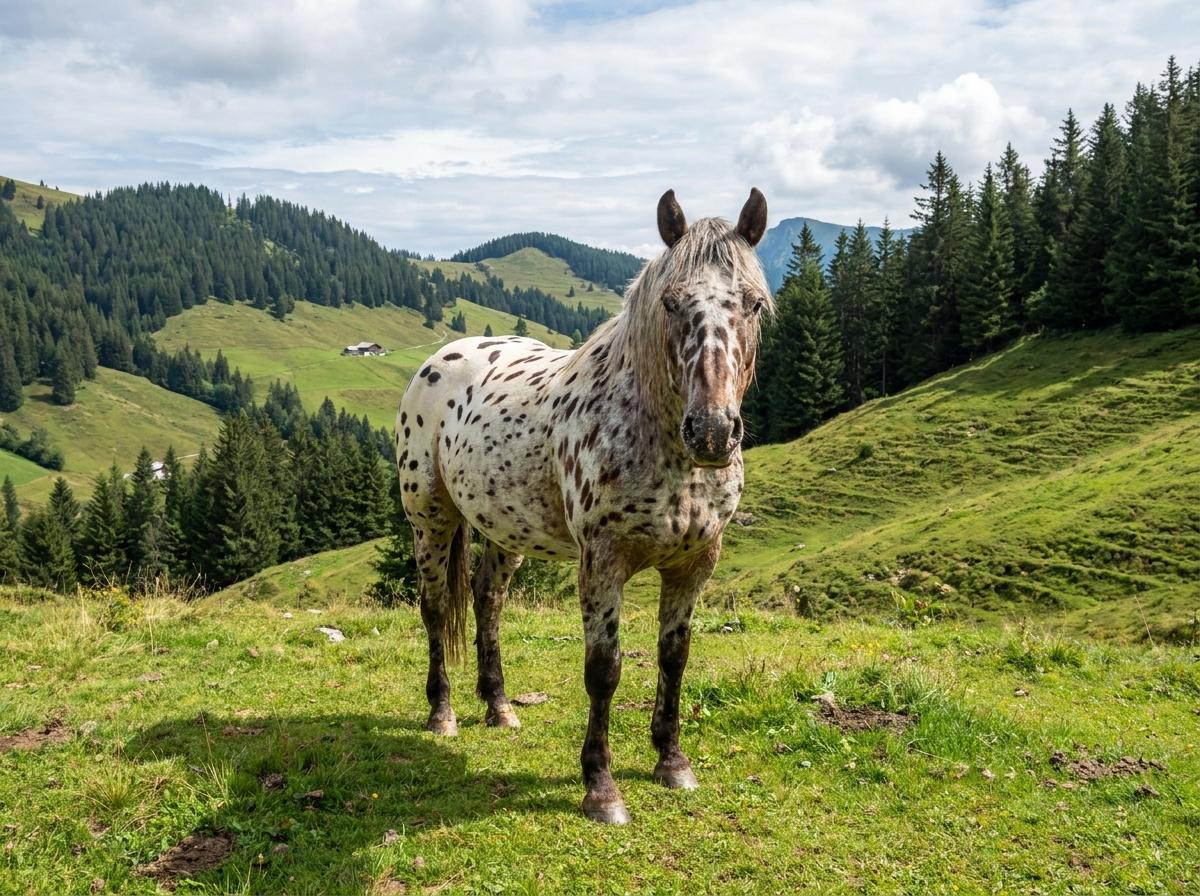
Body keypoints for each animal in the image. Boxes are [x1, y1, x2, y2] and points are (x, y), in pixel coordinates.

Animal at [395, 188, 770, 824]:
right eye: (671, 303)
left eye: (755, 305)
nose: (713, 432)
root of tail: (442, 358)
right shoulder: (602, 562)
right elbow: (604, 670)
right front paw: (601, 787)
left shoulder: (695, 564)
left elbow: (674, 657)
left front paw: (672, 761)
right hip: (431, 519)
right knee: (436, 606)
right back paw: (441, 713)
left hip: (504, 528)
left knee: (487, 600)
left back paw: (499, 707)